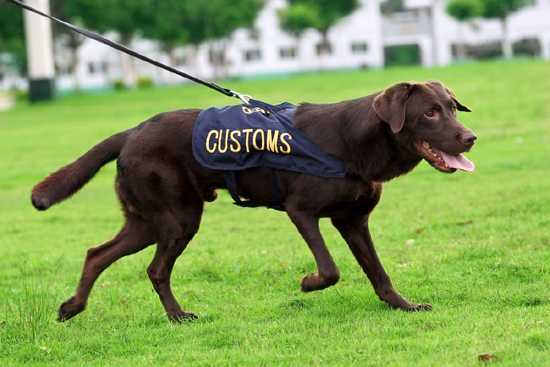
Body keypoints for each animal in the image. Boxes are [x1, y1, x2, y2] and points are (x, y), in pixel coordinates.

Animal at [32, 80, 476, 322]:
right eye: (430, 113)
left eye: (452, 108)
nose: (470, 137)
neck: (357, 140)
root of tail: (130, 132)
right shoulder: (302, 213)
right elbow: (330, 269)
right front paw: (309, 283)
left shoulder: (353, 221)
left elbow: (379, 273)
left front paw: (403, 306)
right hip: (180, 217)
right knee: (155, 269)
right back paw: (177, 317)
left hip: (147, 221)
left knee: (96, 254)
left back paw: (73, 307)